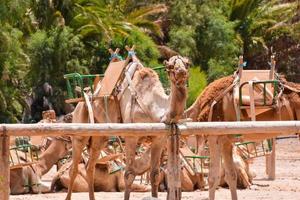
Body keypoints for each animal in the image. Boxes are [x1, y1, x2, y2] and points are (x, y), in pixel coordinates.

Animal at [67, 54, 190, 200]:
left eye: (187, 64)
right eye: (170, 66)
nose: (181, 72)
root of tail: (79, 101)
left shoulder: (159, 138)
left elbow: (154, 174)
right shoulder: (131, 136)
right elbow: (129, 175)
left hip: (100, 138)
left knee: (89, 167)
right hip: (80, 130)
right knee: (74, 169)